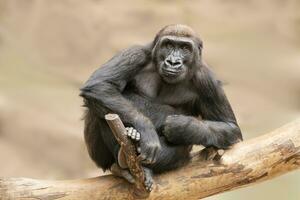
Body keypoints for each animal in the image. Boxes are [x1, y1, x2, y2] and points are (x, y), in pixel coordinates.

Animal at [81, 23, 243, 191]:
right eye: (169, 45)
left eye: (185, 48)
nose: (173, 62)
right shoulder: (135, 53)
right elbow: (101, 86)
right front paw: (147, 130)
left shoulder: (207, 79)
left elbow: (230, 127)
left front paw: (182, 126)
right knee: (100, 108)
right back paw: (122, 161)